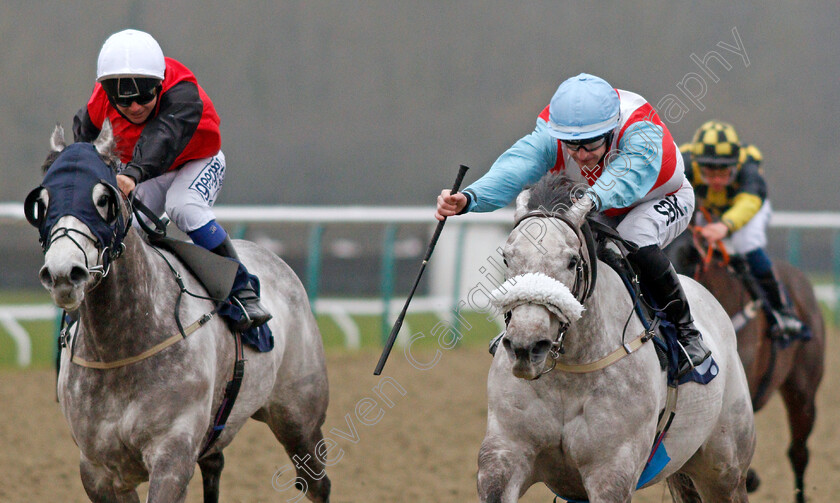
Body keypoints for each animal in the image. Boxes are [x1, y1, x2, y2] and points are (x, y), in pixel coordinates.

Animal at [476, 175, 756, 502]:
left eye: (571, 261)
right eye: (507, 258)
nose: (526, 346)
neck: (568, 374)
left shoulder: (612, 472)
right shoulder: (505, 456)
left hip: (726, 471)